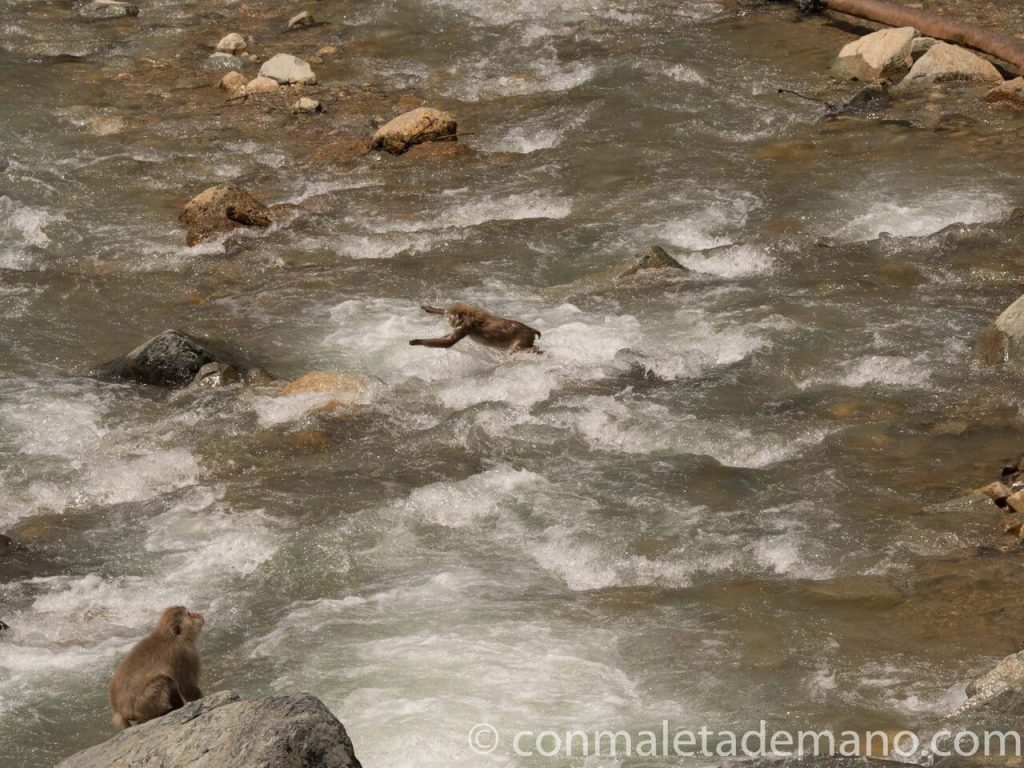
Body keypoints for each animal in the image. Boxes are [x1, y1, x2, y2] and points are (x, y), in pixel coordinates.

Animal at [409, 302, 542, 354]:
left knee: (515, 349)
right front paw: (429, 308)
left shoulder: (467, 325)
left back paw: (533, 349)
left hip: (523, 338)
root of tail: (530, 329)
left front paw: (417, 341)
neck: (470, 315)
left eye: (451, 319)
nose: (450, 322)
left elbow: (449, 341)